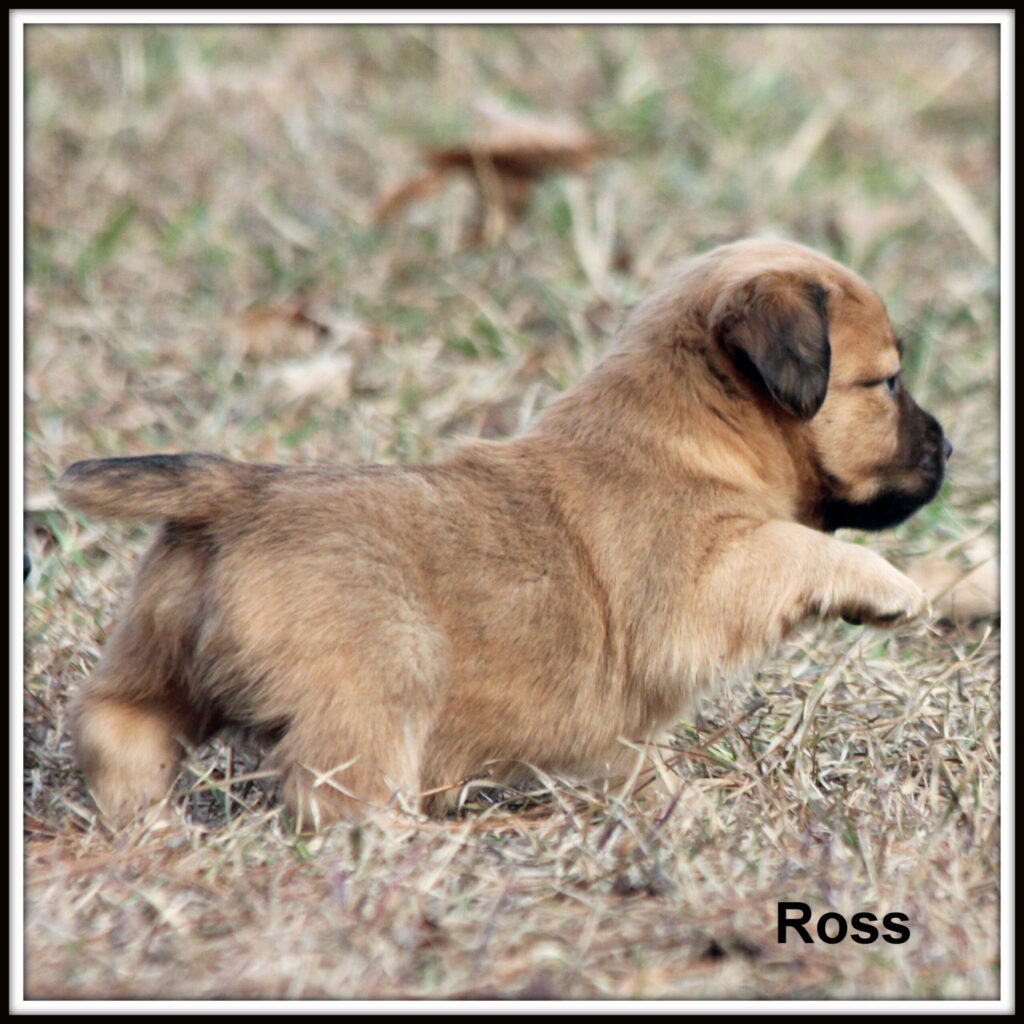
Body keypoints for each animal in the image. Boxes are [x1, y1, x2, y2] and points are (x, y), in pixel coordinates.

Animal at [57, 239, 951, 830]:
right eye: (887, 382)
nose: (949, 447)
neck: (690, 431)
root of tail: (238, 492)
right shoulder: (700, 585)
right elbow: (800, 547)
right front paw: (890, 587)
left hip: (156, 664)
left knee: (116, 729)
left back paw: (142, 825)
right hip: (384, 680)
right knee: (334, 794)